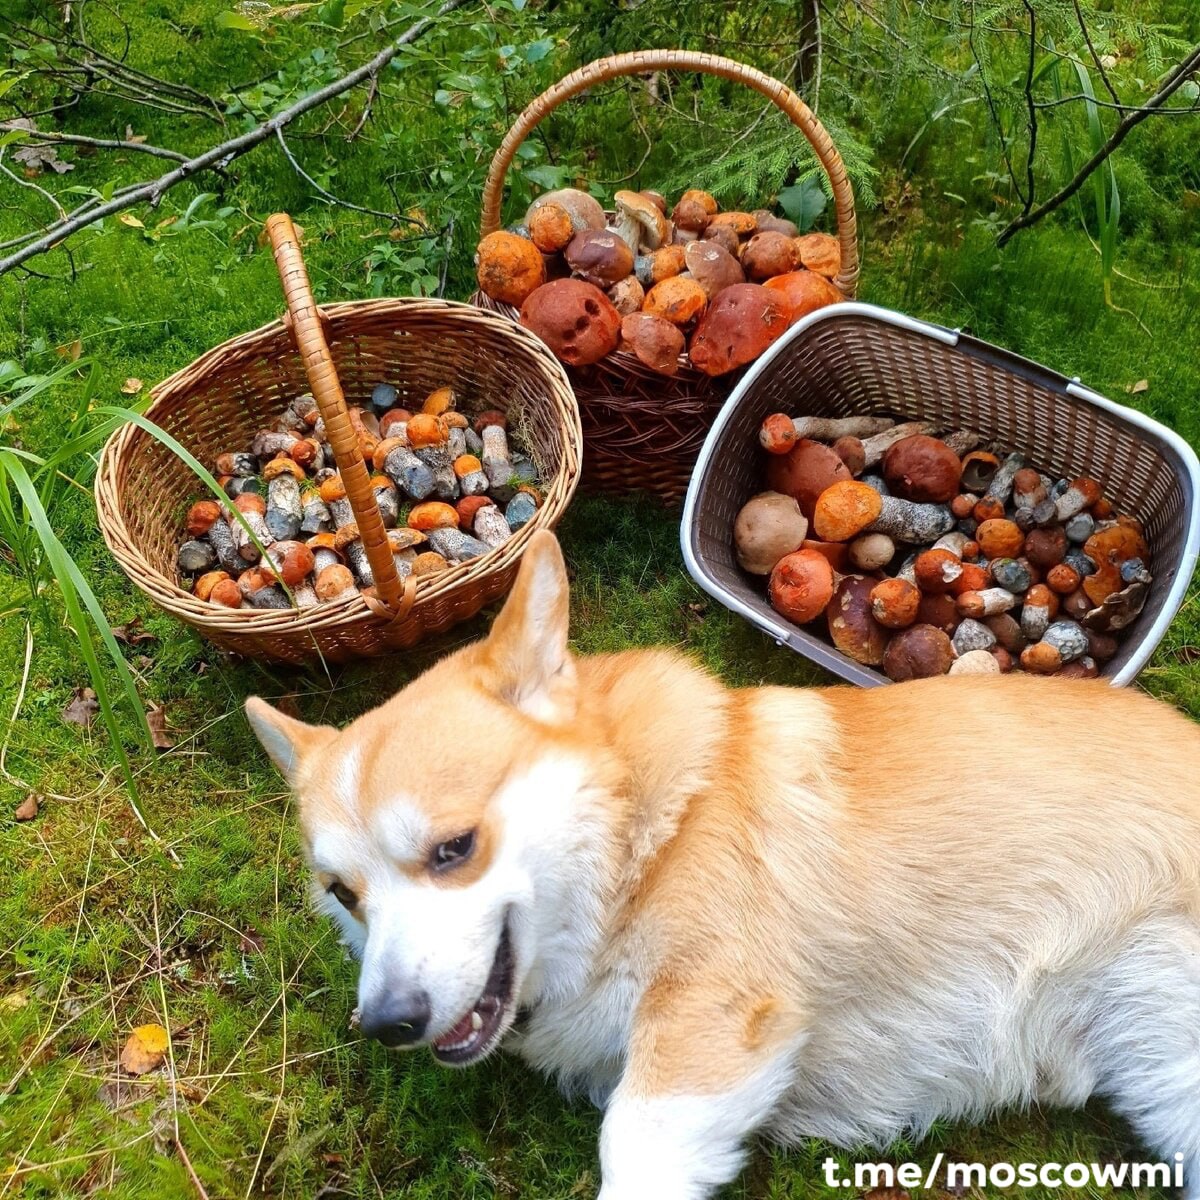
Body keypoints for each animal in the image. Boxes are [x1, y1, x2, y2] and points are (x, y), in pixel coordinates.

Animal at [248, 532, 1200, 1200]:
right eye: (344, 894)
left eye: (453, 848)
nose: (387, 1025)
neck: (644, 846)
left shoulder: (704, 1035)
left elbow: (631, 1152)